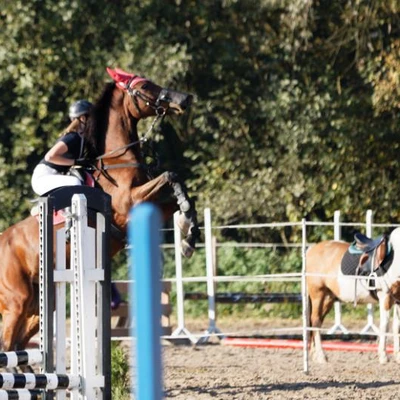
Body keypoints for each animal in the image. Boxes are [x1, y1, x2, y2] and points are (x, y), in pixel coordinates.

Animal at [0, 67, 200, 352]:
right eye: (145, 86)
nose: (185, 99)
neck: (118, 159)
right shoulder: (129, 203)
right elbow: (170, 175)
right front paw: (186, 227)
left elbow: (175, 195)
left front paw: (188, 233)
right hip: (16, 301)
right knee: (7, 344)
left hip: (36, 307)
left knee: (17, 344)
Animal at [308, 227, 400, 364]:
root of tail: (311, 250)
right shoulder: (385, 296)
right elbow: (385, 325)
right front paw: (383, 356)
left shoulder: (398, 299)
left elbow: (396, 327)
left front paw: (398, 356)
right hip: (318, 295)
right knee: (315, 321)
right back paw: (321, 355)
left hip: (328, 298)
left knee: (318, 321)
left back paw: (315, 355)